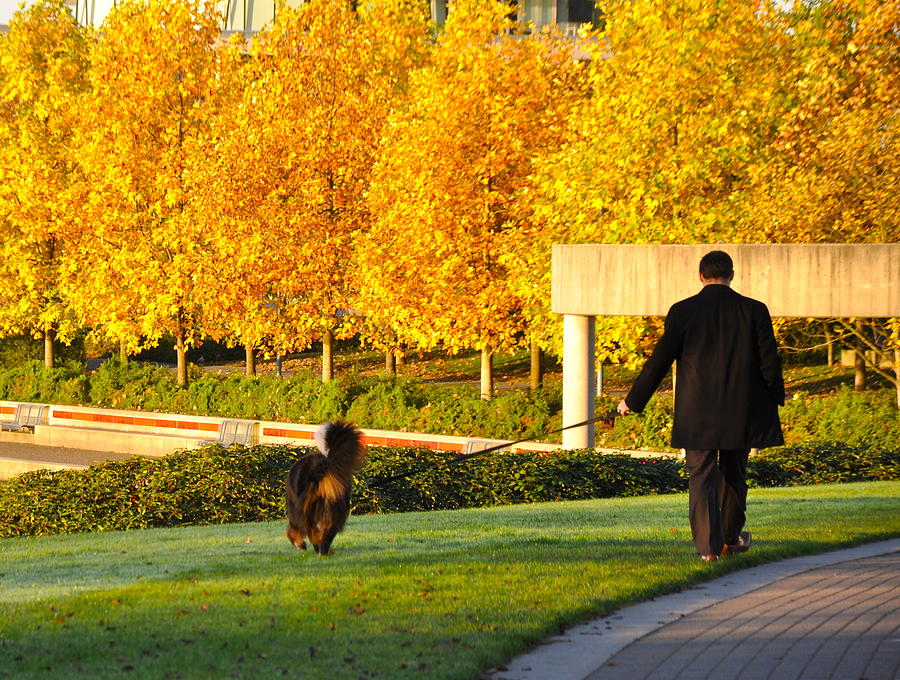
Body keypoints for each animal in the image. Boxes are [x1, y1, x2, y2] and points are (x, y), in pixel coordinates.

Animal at [284, 420, 364, 556]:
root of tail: (322, 466)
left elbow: (292, 530)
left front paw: (300, 544)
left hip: (304, 509)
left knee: (309, 531)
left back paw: (315, 548)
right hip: (336, 507)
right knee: (327, 533)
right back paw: (324, 551)